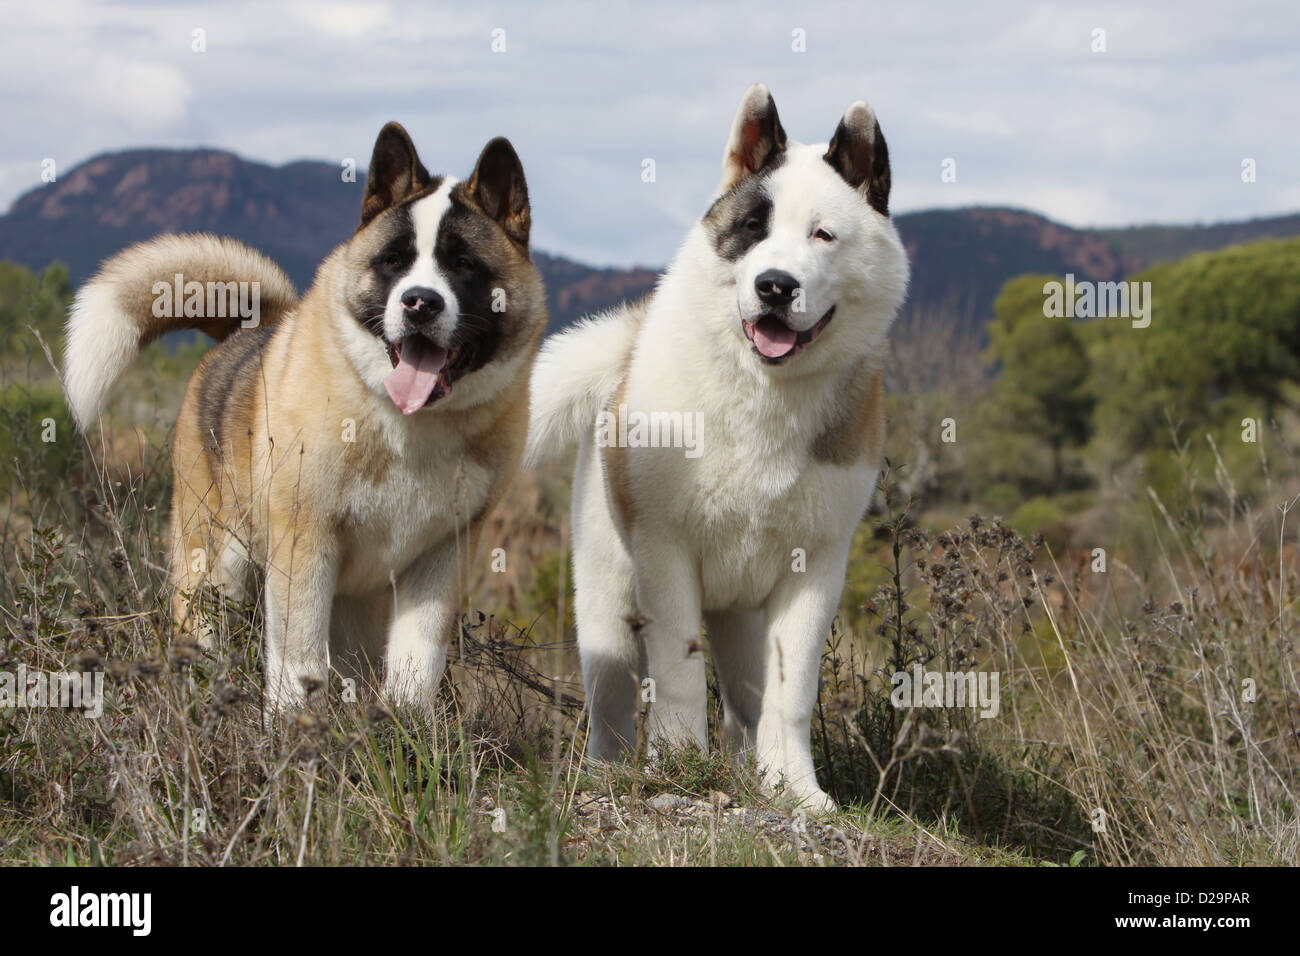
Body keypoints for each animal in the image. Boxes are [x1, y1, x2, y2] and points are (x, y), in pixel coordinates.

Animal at [64, 121, 548, 717]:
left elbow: (416, 665)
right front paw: (295, 732)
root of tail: (252, 328)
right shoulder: (304, 545)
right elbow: (298, 662)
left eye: (462, 265)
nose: (419, 302)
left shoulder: (440, 559)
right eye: (393, 261)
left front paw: (406, 729)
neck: (409, 423)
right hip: (215, 572)